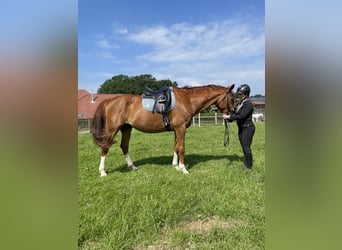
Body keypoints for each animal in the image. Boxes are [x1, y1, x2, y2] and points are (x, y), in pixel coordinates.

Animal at [91, 84, 235, 176]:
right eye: (232, 99)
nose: (232, 114)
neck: (187, 100)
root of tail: (109, 101)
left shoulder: (177, 129)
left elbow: (176, 147)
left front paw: (175, 166)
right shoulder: (181, 128)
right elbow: (182, 147)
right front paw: (183, 169)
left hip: (126, 128)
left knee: (124, 146)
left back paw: (132, 167)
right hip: (112, 130)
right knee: (105, 148)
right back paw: (102, 172)